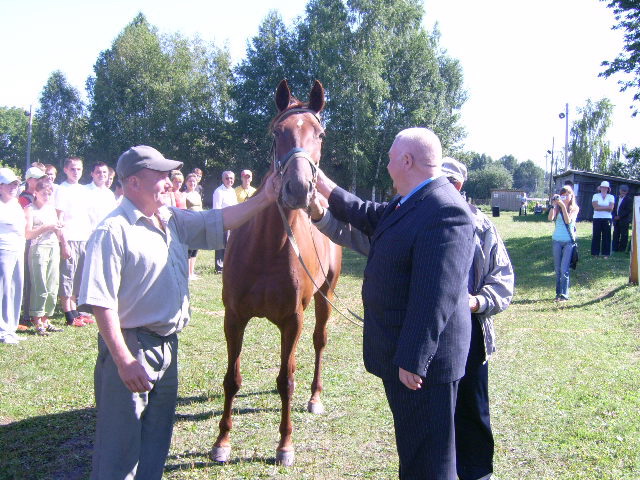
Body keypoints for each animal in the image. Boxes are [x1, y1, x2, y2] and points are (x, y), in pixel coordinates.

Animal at [211, 78, 342, 464]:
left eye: (320, 133)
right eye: (276, 133)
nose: (298, 188)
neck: (268, 247)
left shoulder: (292, 320)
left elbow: (287, 380)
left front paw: (285, 445)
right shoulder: (234, 316)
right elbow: (232, 378)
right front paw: (222, 442)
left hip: (325, 296)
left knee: (318, 343)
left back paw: (315, 397)